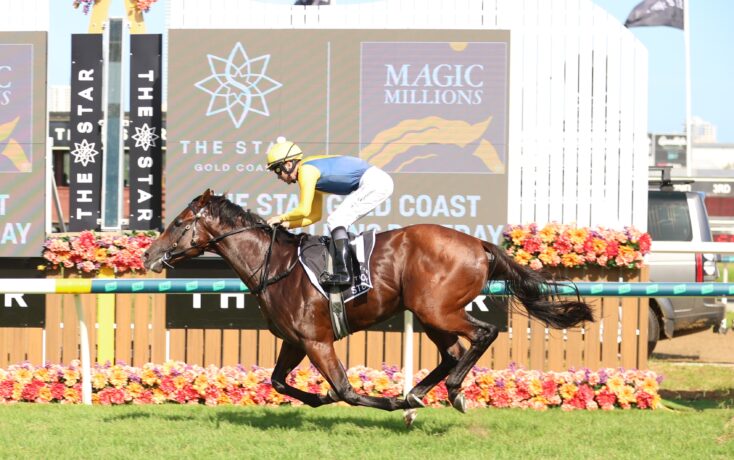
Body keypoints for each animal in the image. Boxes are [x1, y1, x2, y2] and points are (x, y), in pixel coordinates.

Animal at [142, 190, 592, 416]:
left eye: (179, 223)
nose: (148, 254)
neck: (278, 266)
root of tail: (479, 243)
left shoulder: (317, 340)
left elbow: (344, 389)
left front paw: (384, 401)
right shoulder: (295, 340)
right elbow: (277, 381)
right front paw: (319, 398)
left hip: (437, 309)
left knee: (485, 333)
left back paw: (448, 392)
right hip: (430, 314)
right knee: (451, 353)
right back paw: (417, 394)